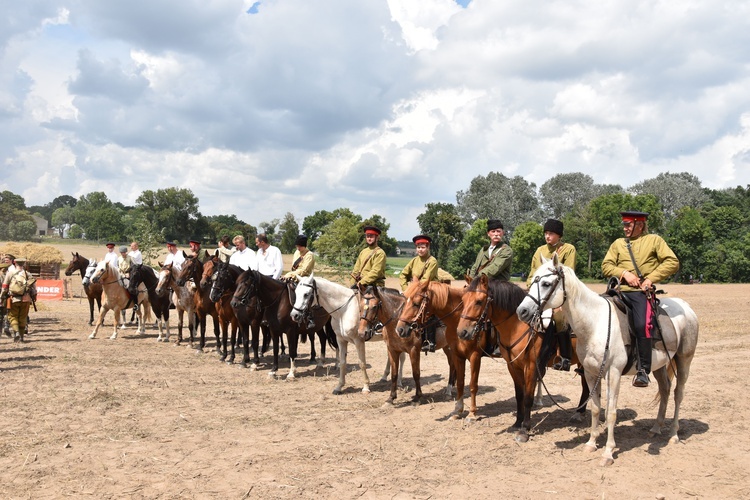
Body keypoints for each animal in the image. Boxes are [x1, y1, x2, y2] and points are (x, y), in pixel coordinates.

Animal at [516, 256, 700, 466]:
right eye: (532, 281)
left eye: (546, 284)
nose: (522, 311)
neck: (595, 324)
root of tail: (686, 307)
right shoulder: (590, 373)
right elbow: (596, 408)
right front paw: (591, 443)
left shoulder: (613, 373)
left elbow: (611, 412)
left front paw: (608, 452)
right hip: (659, 366)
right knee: (665, 389)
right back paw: (656, 428)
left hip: (684, 360)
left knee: (678, 393)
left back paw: (673, 433)